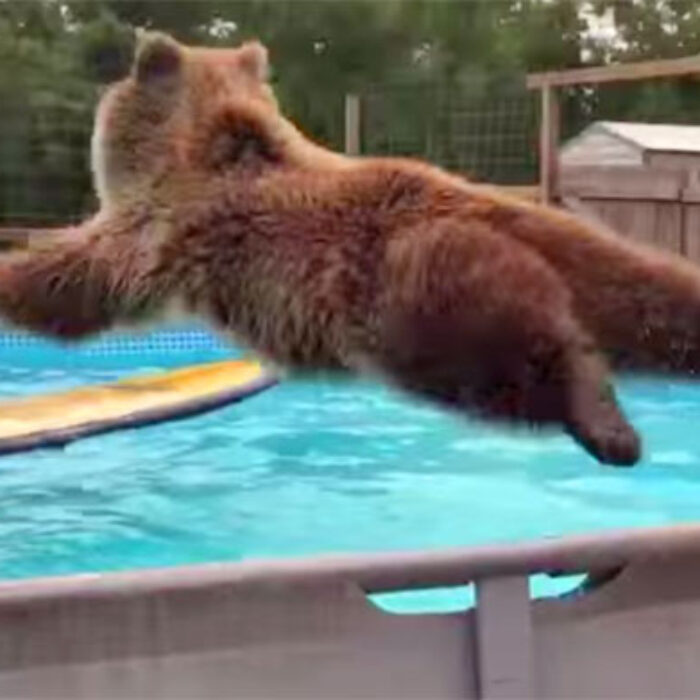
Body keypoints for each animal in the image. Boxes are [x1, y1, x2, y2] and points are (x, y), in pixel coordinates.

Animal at [3, 30, 700, 467]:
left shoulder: (162, 228)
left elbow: (78, 277)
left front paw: (12, 277)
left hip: (415, 292)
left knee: (518, 355)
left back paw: (609, 429)